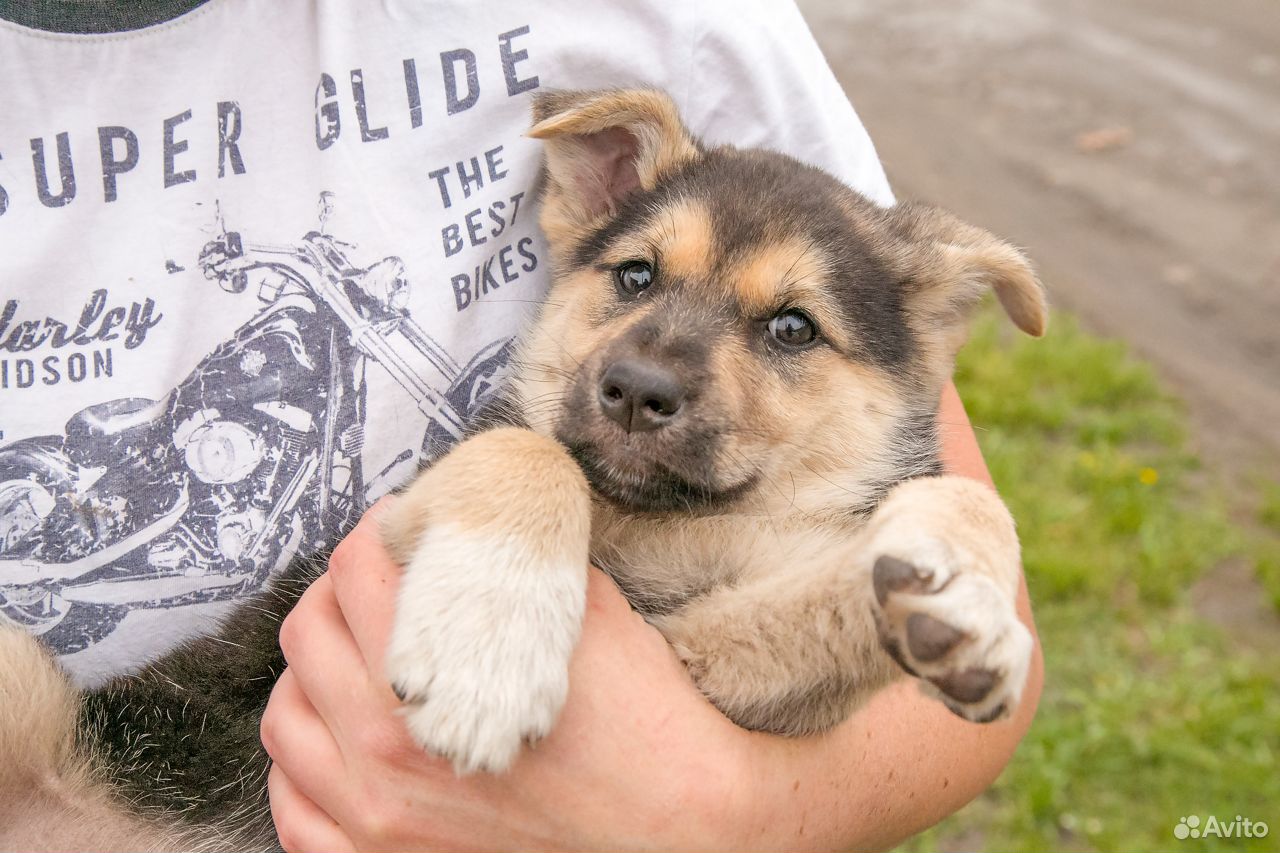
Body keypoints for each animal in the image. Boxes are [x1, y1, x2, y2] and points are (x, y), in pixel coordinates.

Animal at [0, 89, 1039, 845]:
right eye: (635, 275)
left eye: (793, 328)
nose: (633, 390)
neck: (666, 524)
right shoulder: (383, 526)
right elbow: (528, 447)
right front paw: (486, 652)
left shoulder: (707, 669)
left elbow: (949, 515)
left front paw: (958, 595)